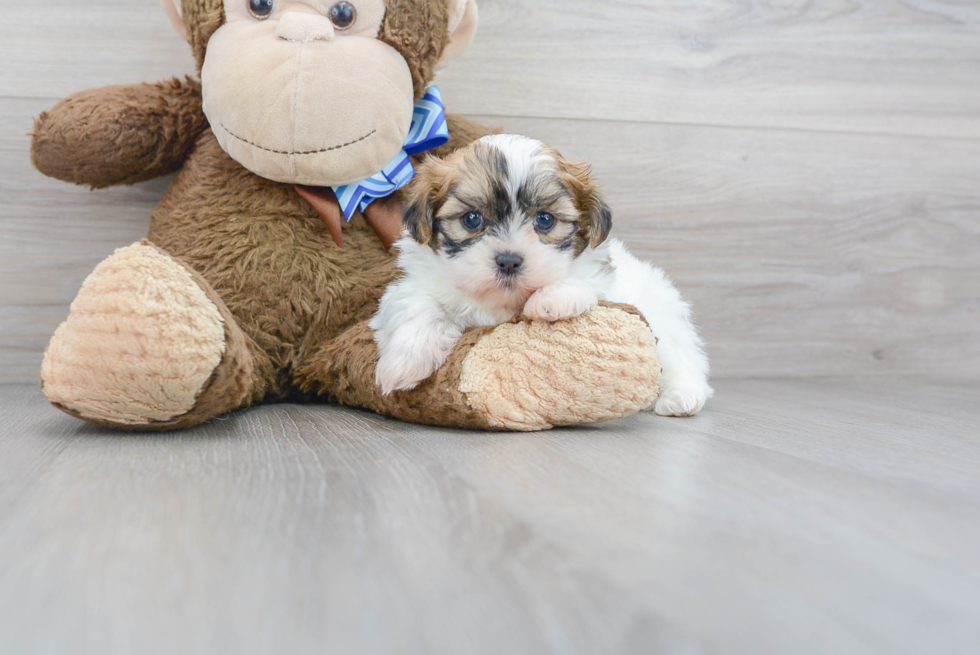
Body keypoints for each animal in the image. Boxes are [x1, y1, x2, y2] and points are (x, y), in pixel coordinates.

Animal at [368, 136, 712, 418]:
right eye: (472, 219)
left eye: (545, 220)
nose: (508, 261)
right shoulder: (411, 284)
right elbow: (416, 305)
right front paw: (405, 361)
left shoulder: (602, 277)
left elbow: (585, 282)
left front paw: (553, 299)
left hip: (664, 321)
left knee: (682, 358)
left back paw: (682, 397)